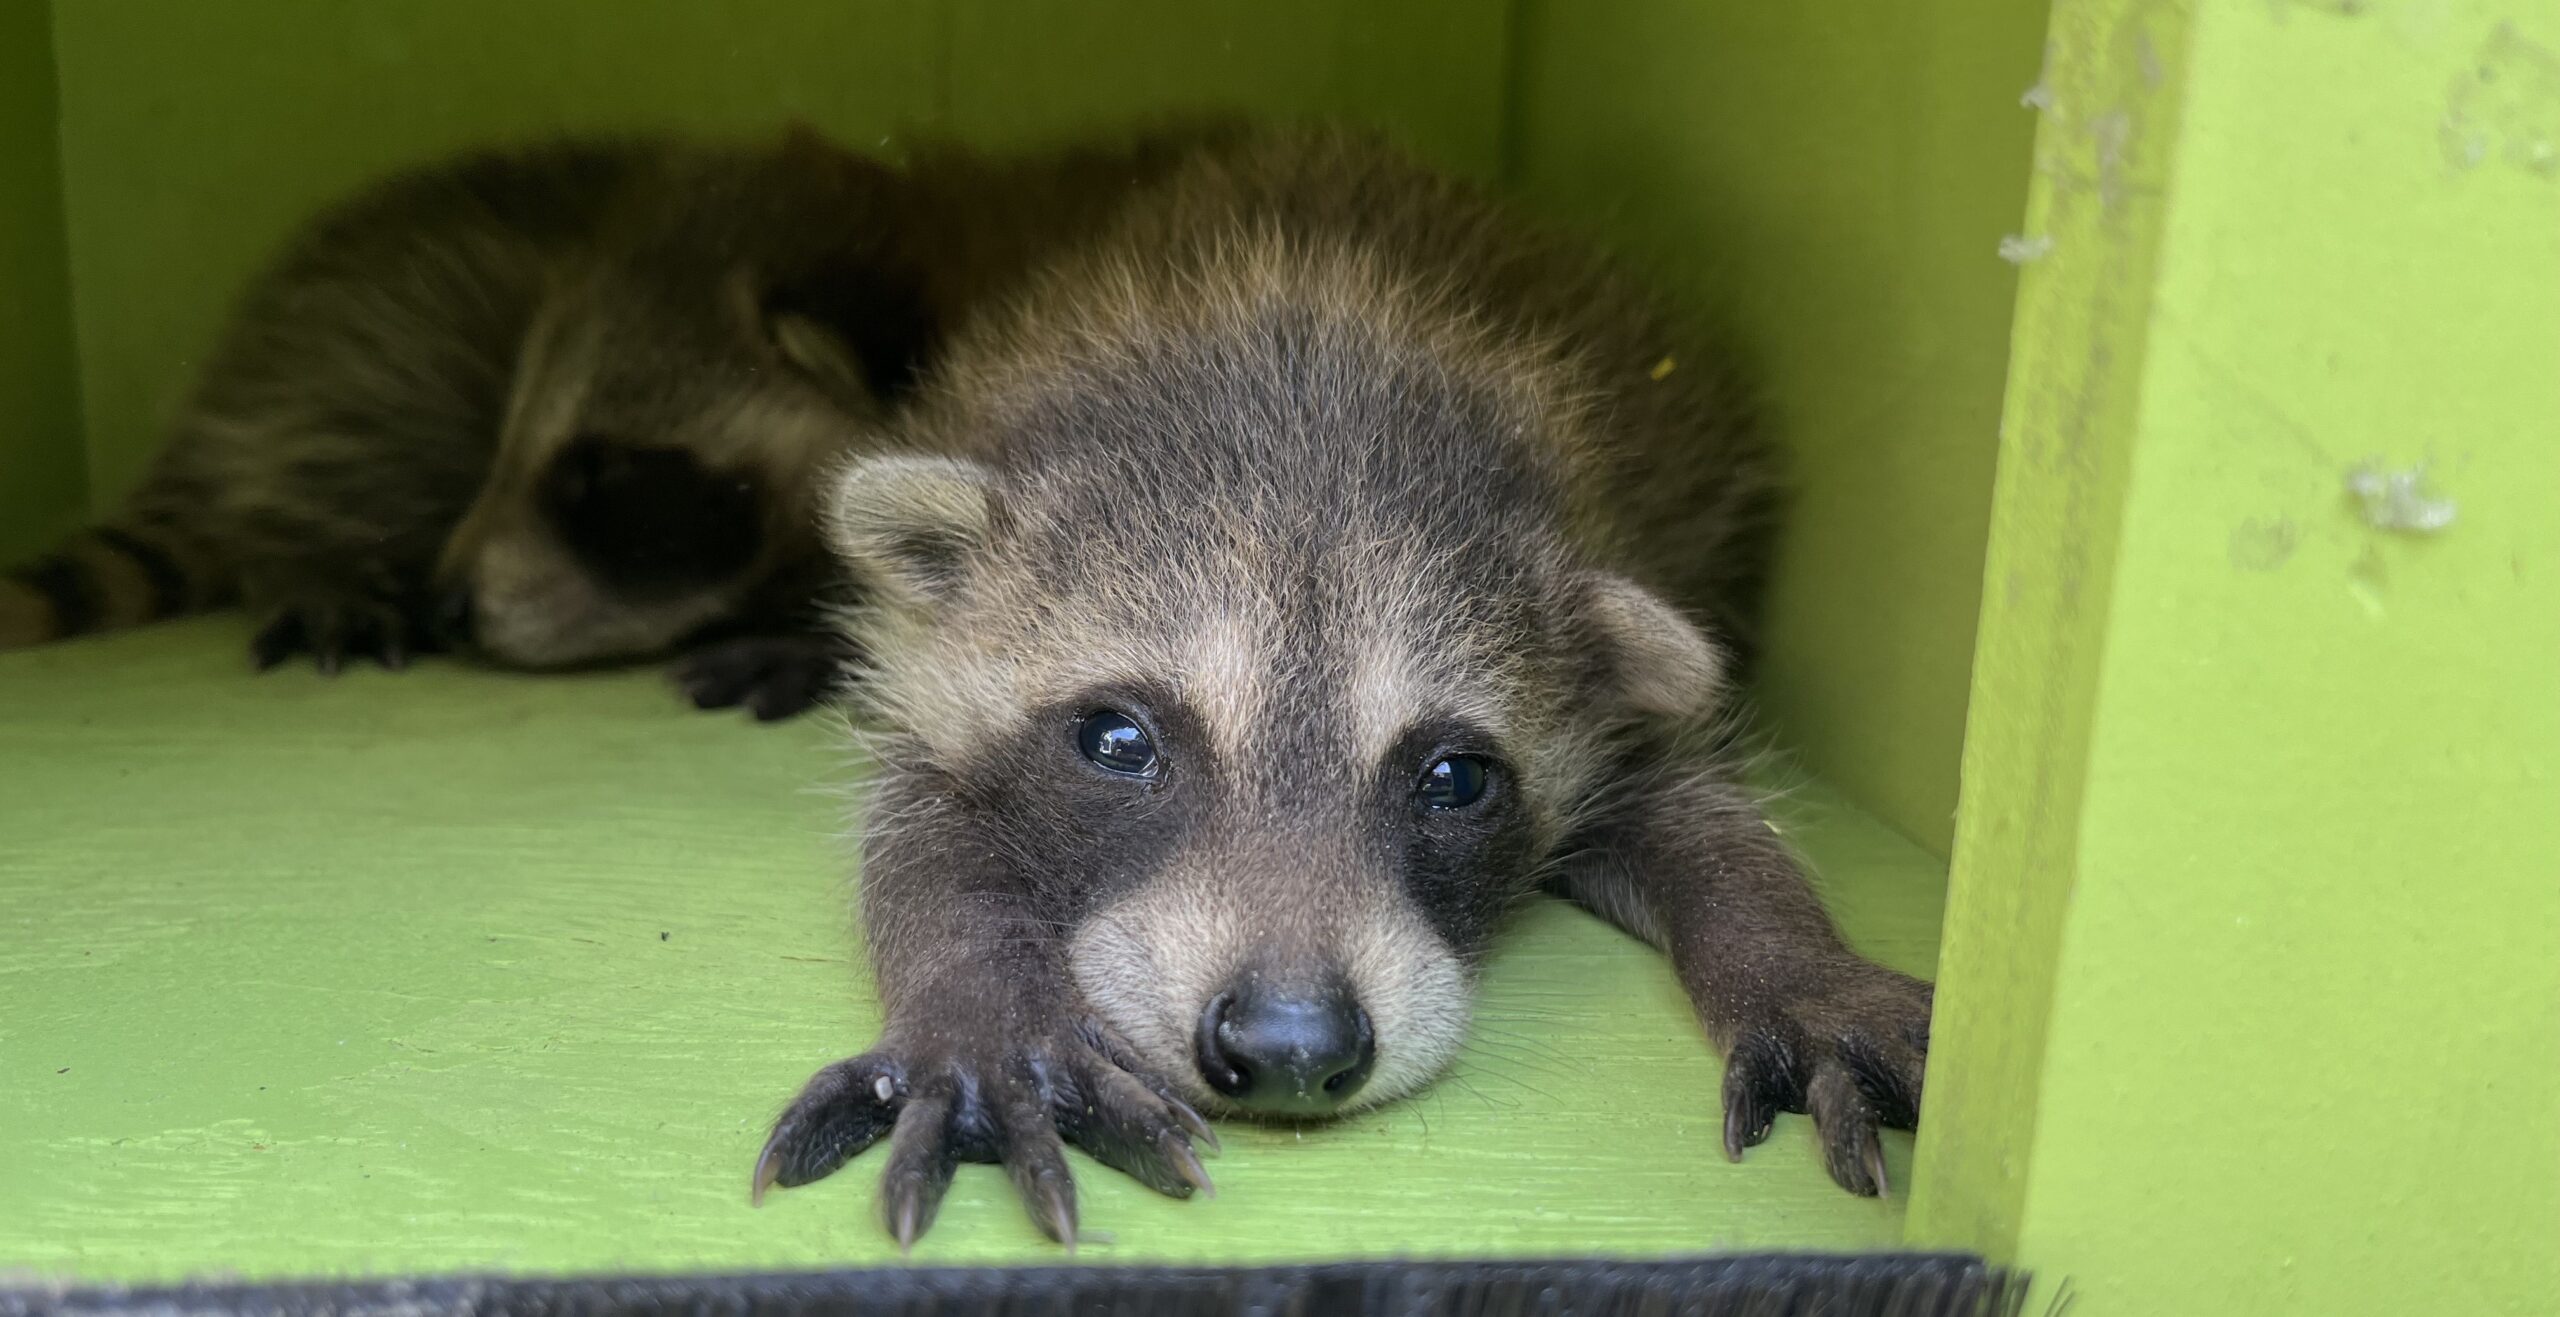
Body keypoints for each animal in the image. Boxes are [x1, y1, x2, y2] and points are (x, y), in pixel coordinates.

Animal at [753, 126, 1934, 1246]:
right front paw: (984, 1007)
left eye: (1456, 778)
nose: (1288, 1044)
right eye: (1118, 742)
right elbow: (920, 823)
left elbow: (1700, 807)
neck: (1306, 352)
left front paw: (1796, 962)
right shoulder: (924, 662)